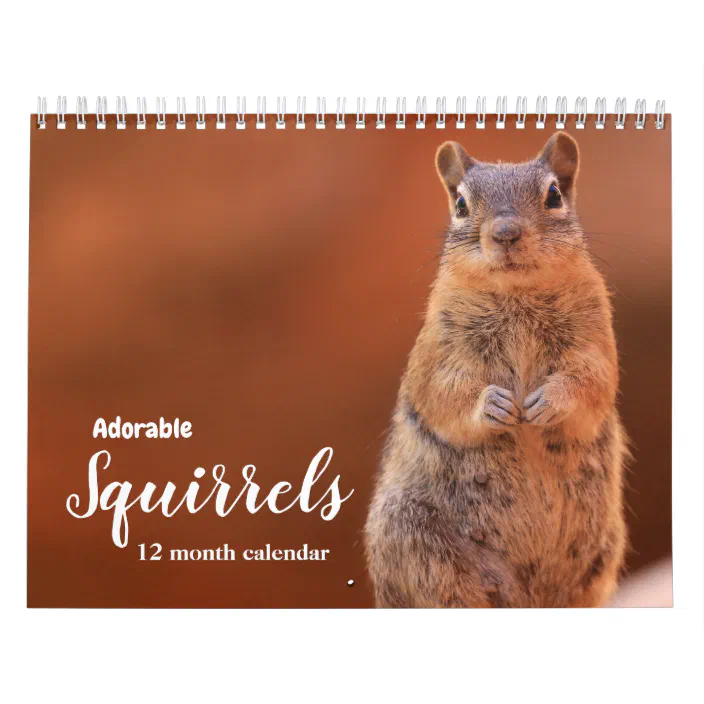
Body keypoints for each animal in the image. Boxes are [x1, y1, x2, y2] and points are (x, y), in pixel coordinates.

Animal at [365, 133, 627, 608]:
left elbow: (590, 382)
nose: (505, 233)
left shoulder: (595, 341)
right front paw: (492, 405)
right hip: (410, 536)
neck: (516, 294)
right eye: (461, 204)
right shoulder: (437, 351)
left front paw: (549, 401)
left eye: (554, 195)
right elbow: (443, 392)